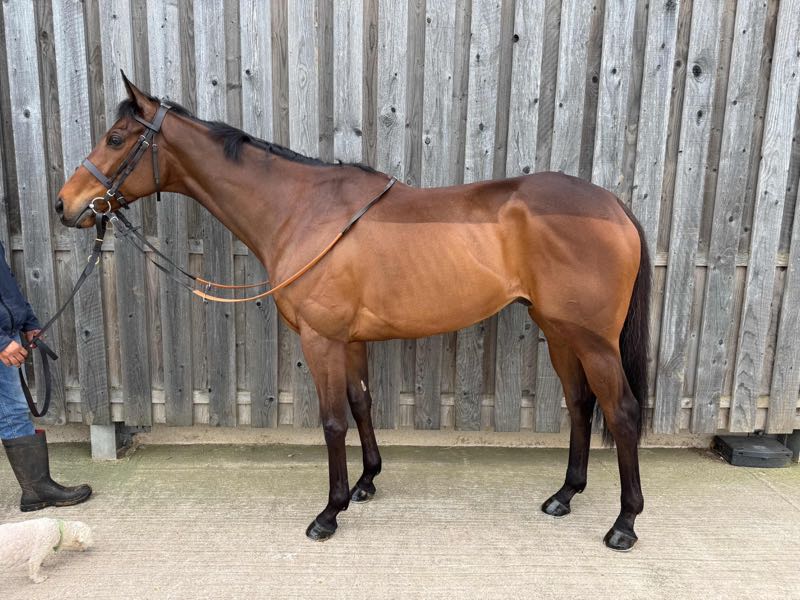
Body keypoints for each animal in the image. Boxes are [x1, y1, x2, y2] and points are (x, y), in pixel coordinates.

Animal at [56, 74, 651, 551]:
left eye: (115, 139)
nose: (65, 204)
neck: (303, 209)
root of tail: (613, 205)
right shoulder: (352, 341)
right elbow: (362, 406)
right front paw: (366, 483)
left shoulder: (321, 339)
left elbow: (333, 420)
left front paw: (330, 512)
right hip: (560, 331)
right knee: (580, 405)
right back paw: (565, 495)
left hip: (593, 340)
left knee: (621, 412)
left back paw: (624, 524)